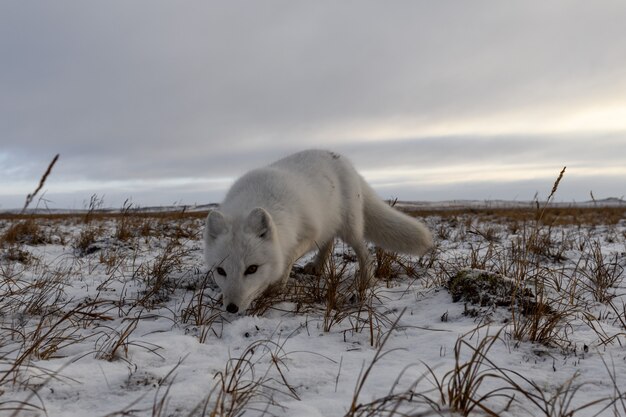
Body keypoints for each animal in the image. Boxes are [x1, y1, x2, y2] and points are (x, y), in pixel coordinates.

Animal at [202, 149, 432, 312]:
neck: (254, 198)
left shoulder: (310, 231)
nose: (231, 308)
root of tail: (345, 160)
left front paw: (276, 285)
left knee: (362, 251)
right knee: (328, 242)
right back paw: (317, 267)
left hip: (349, 227)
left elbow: (288, 256)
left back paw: (366, 280)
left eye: (252, 269)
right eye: (221, 271)